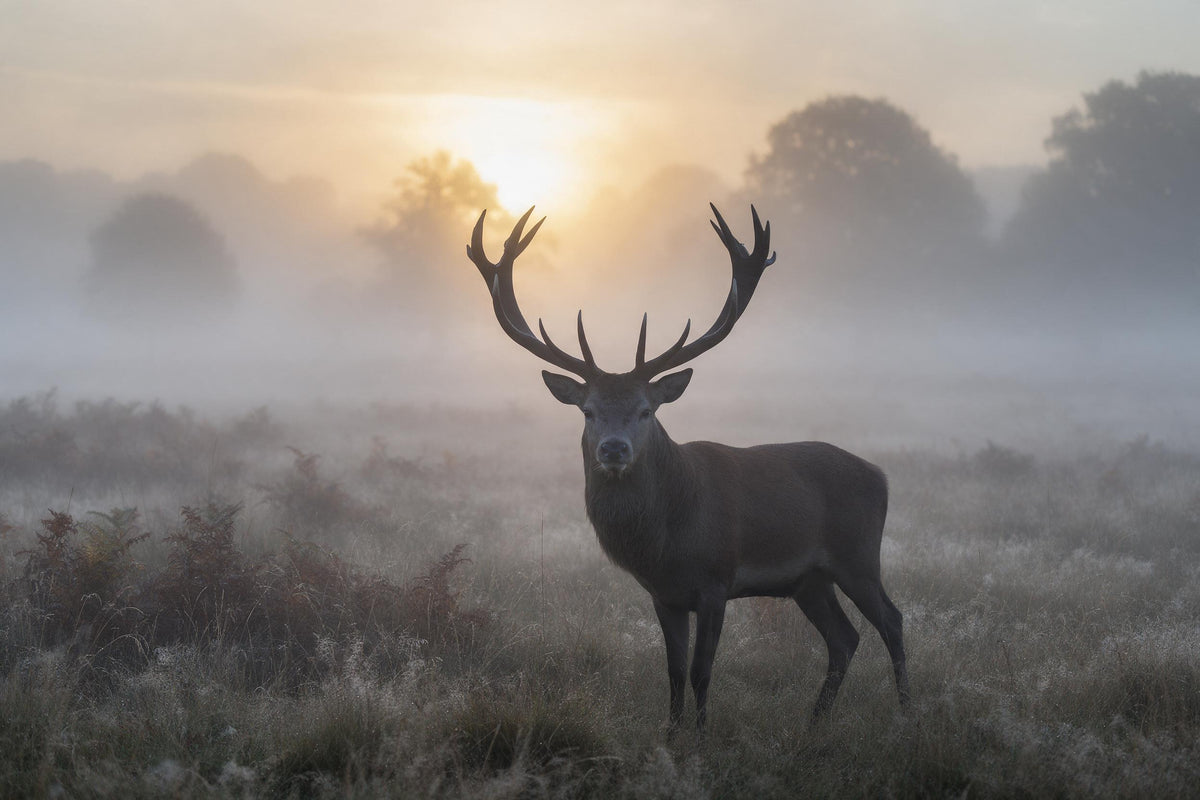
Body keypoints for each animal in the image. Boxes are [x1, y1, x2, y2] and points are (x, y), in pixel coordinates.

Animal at [465, 204, 909, 731]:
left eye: (646, 410)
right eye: (588, 410)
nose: (613, 449)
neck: (669, 541)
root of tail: (880, 476)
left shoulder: (717, 580)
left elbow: (701, 670)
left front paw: (701, 734)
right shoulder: (664, 594)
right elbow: (674, 670)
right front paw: (672, 732)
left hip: (857, 554)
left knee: (892, 620)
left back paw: (909, 712)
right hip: (810, 580)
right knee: (844, 637)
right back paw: (813, 722)